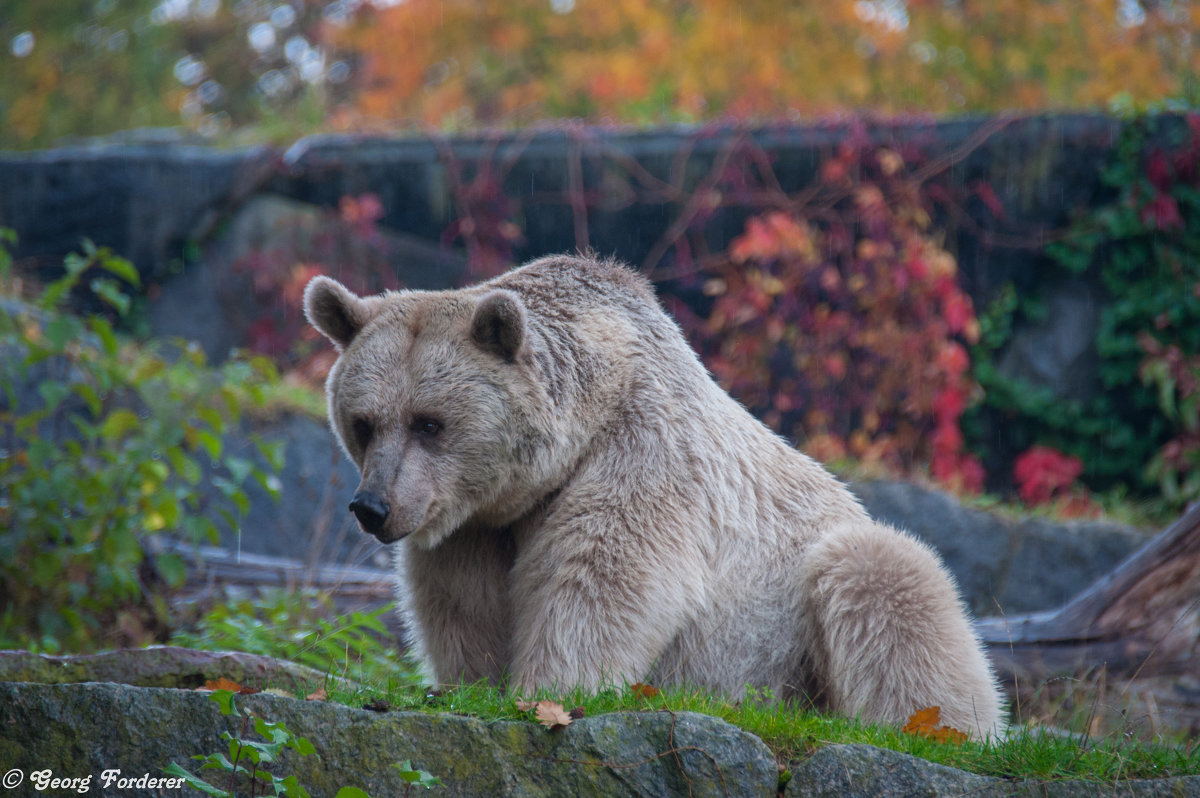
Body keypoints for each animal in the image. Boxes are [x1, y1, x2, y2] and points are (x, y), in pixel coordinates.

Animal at [304, 253, 1008, 734]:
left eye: (429, 422)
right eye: (364, 422)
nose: (372, 507)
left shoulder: (645, 451)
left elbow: (603, 578)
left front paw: (550, 691)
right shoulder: (475, 524)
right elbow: (462, 606)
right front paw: (471, 684)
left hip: (804, 628)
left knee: (888, 585)